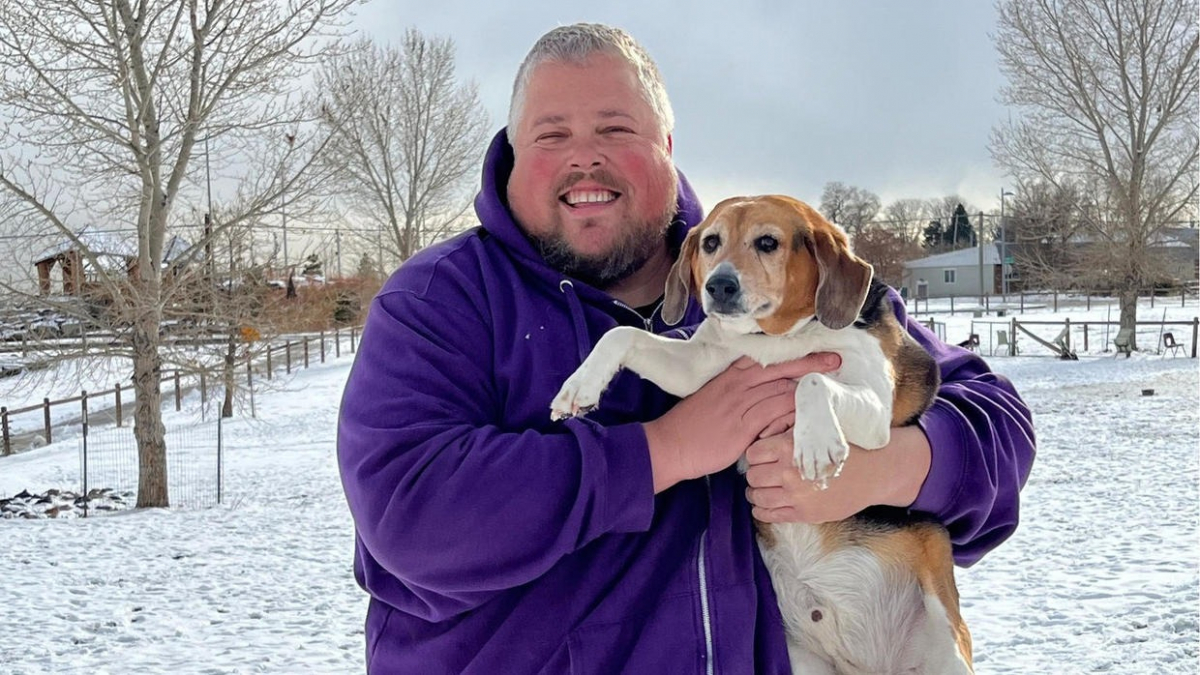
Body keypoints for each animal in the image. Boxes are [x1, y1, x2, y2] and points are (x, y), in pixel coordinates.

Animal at [552, 194, 974, 672]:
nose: (718, 286)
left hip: (947, 649)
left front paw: (816, 444)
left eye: (767, 242)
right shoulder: (695, 370)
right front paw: (580, 387)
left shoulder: (876, 408)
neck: (772, 339)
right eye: (711, 242)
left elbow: (810, 377)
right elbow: (621, 335)